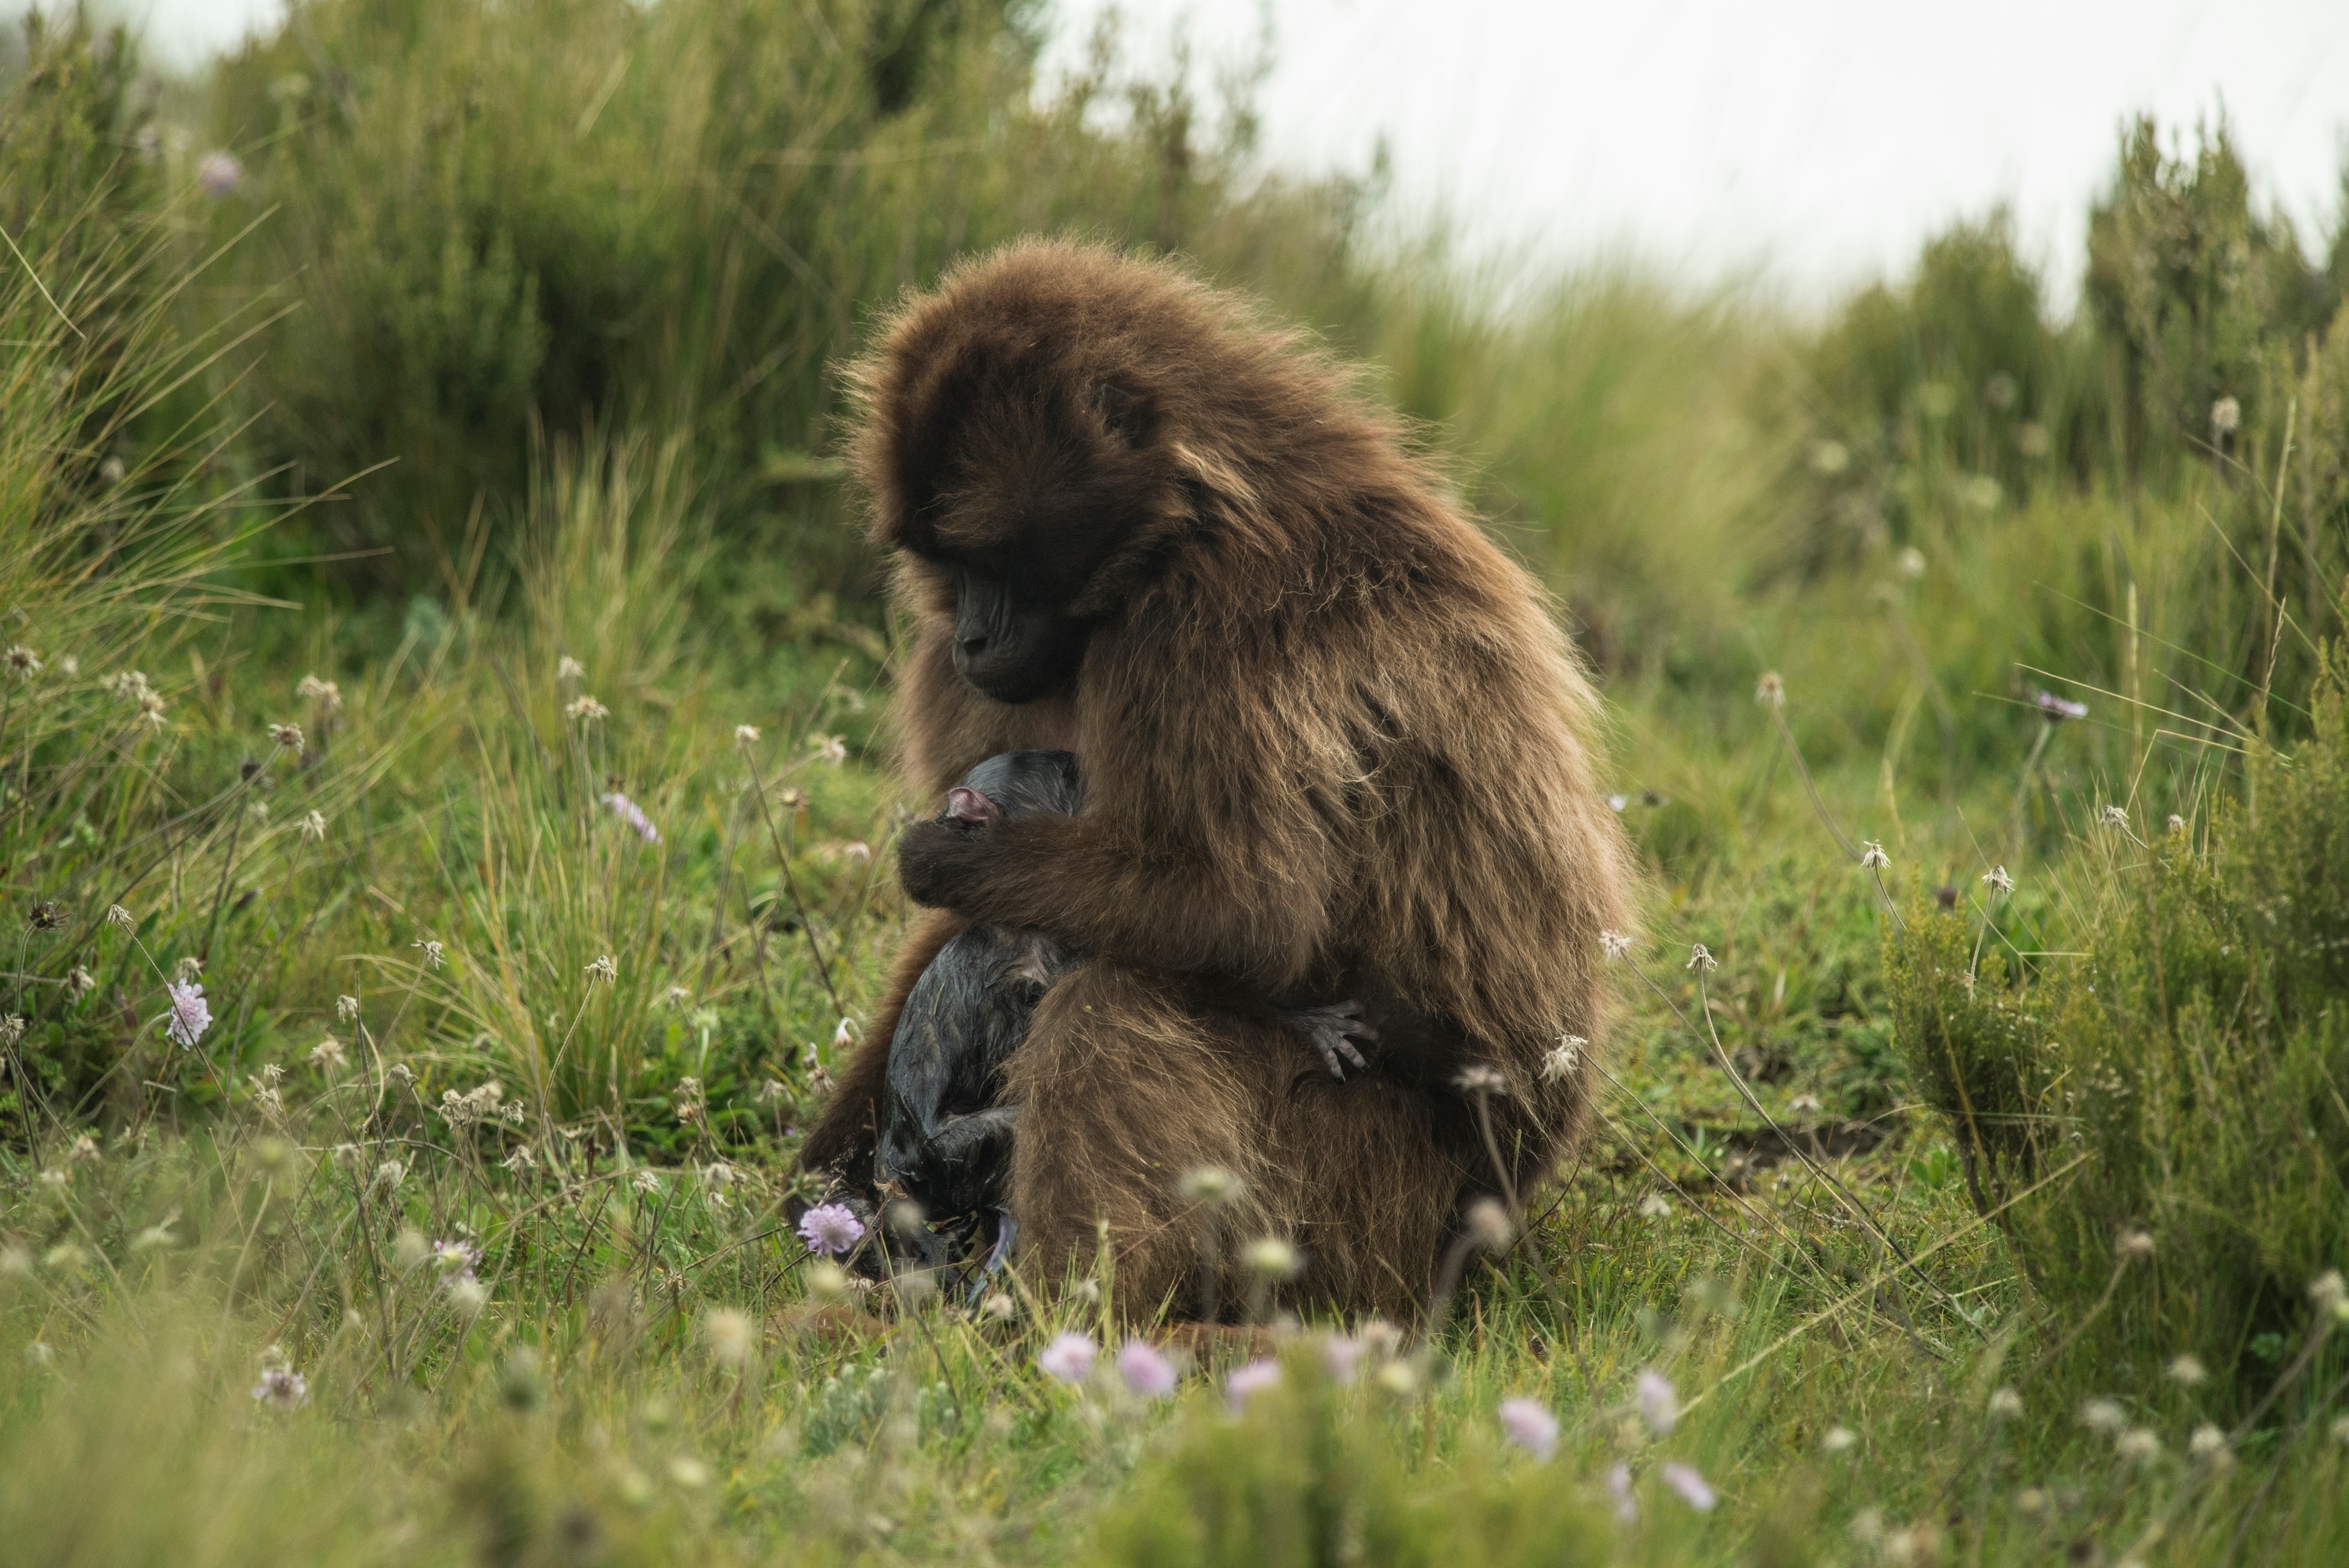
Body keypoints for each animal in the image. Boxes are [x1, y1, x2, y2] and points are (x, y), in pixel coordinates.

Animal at [798, 245, 1625, 1323]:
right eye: (946, 558)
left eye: (992, 554)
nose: (973, 639)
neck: (1177, 530)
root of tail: (1501, 1207)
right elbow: (964, 940)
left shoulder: (1209, 636)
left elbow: (1249, 915)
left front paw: (946, 856)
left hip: (1373, 1206)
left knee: (1112, 1003)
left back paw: (1062, 1319)